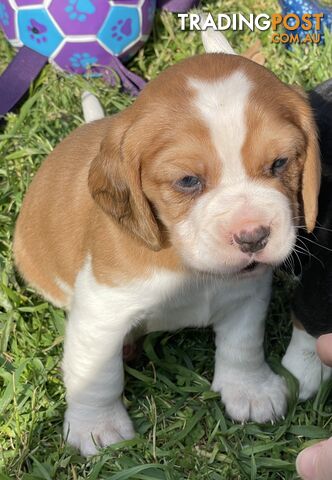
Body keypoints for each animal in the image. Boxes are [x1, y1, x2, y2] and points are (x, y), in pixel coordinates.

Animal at [14, 39, 320, 456]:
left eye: (279, 163)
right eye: (188, 181)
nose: (253, 236)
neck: (188, 263)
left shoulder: (247, 293)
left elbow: (242, 344)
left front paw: (249, 389)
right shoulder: (101, 316)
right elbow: (97, 377)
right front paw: (97, 427)